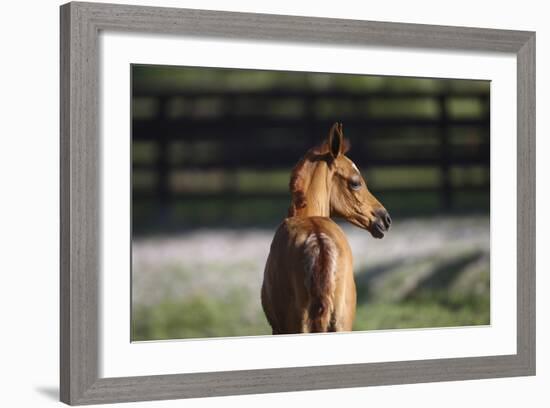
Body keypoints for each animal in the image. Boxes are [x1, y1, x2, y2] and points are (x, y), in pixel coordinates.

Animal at [260, 122, 390, 334]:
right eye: (355, 182)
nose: (385, 219)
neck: (307, 215)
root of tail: (319, 241)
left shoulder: (277, 329)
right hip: (341, 325)